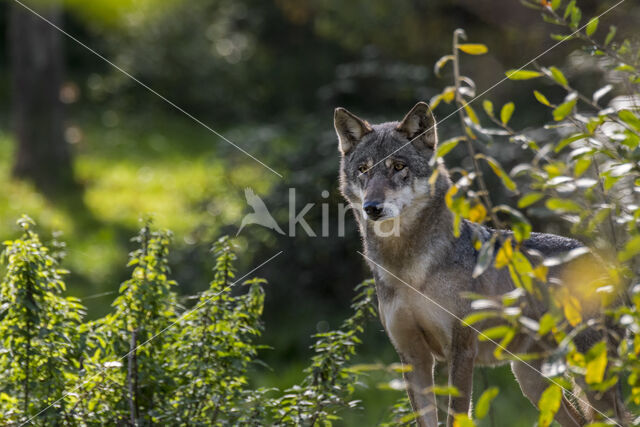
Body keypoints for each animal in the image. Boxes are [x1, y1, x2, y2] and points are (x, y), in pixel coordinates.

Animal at [338, 103, 628, 427]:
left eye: (399, 166)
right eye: (363, 169)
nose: (372, 208)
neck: (408, 270)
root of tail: (599, 259)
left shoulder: (461, 351)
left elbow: (455, 415)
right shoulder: (413, 358)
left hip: (592, 381)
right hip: (531, 382)